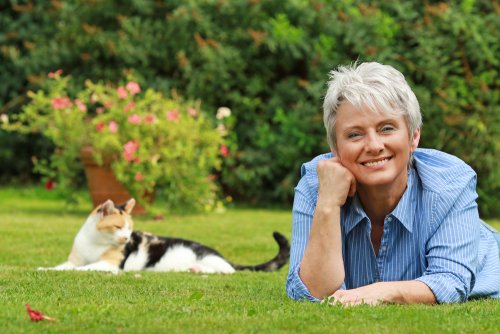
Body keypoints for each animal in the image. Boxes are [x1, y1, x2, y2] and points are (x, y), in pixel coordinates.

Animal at [39, 198, 292, 274]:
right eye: (119, 227)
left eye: (129, 229)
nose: (127, 239)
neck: (95, 243)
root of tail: (221, 255)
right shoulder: (74, 259)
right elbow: (63, 266)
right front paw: (44, 269)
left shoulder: (109, 265)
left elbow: (84, 268)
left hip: (210, 259)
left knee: (228, 271)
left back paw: (201, 269)